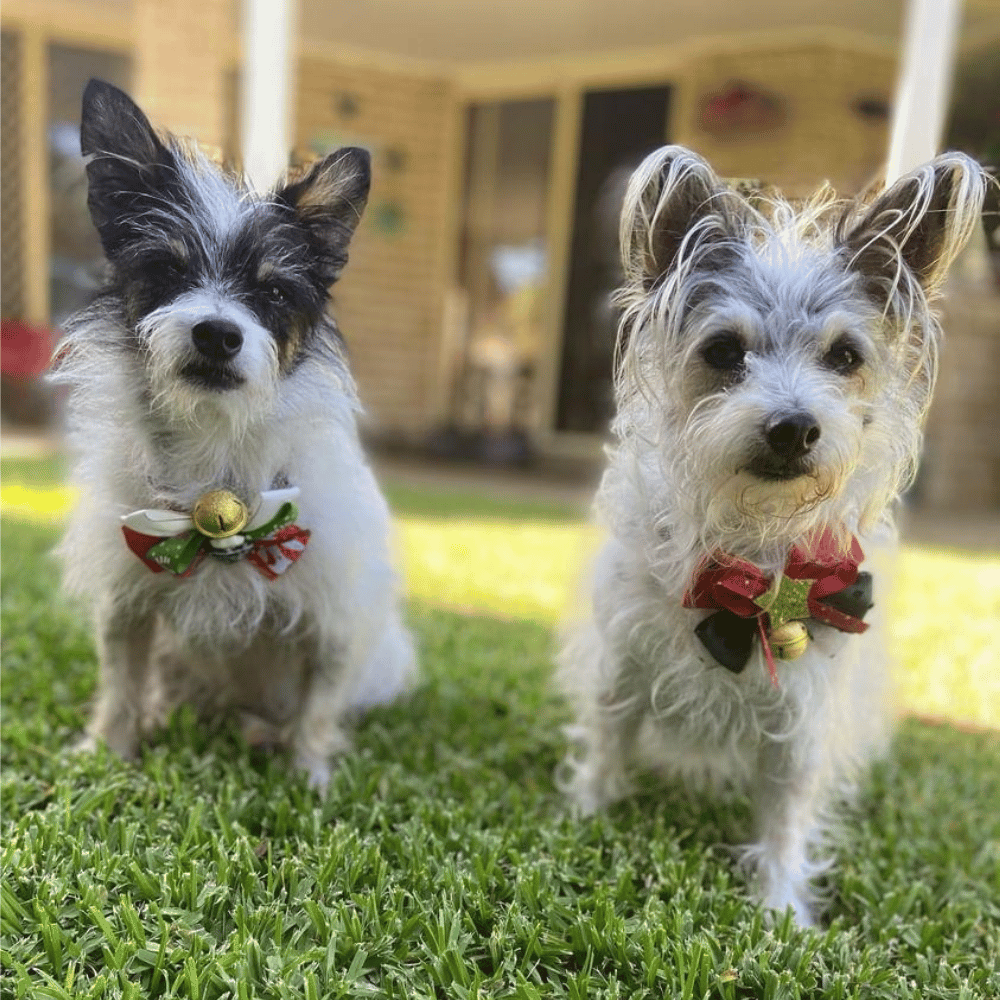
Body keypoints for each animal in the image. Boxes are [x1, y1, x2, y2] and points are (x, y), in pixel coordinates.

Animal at [55, 80, 414, 788]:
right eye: (168, 273)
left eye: (272, 293)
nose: (218, 333)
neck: (213, 448)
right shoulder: (125, 600)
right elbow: (120, 681)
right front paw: (108, 752)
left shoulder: (336, 616)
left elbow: (320, 704)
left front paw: (309, 775)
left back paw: (263, 733)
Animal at [560, 143, 988, 920]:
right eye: (726, 351)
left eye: (845, 357)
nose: (793, 427)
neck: (749, 553)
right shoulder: (621, 662)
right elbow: (607, 744)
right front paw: (585, 820)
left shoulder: (805, 712)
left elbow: (787, 811)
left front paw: (781, 906)